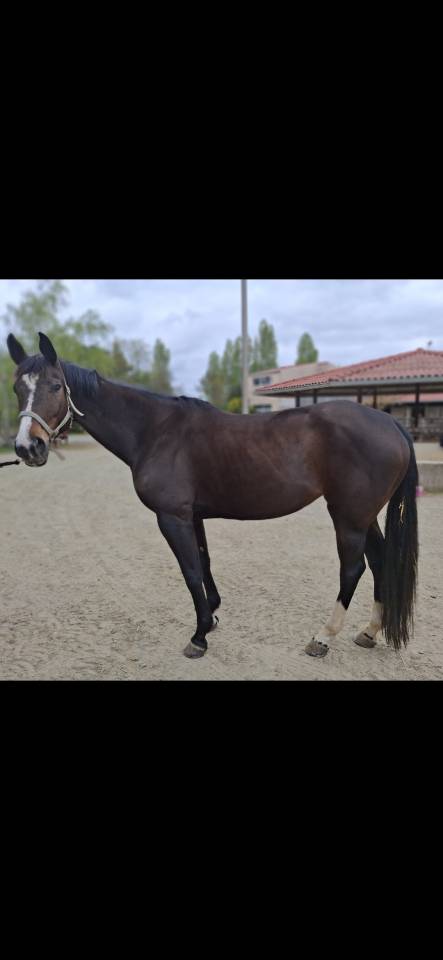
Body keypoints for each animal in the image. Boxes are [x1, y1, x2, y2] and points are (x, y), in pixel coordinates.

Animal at [7, 331, 418, 661]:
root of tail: (390, 421)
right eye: (17, 389)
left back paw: (322, 637)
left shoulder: (172, 516)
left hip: (348, 516)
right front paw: (214, 616)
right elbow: (204, 563)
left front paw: (199, 635)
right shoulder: (193, 515)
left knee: (353, 568)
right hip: (364, 516)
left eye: (55, 386)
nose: (28, 447)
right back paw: (369, 631)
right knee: (379, 561)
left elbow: (190, 571)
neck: (155, 431)